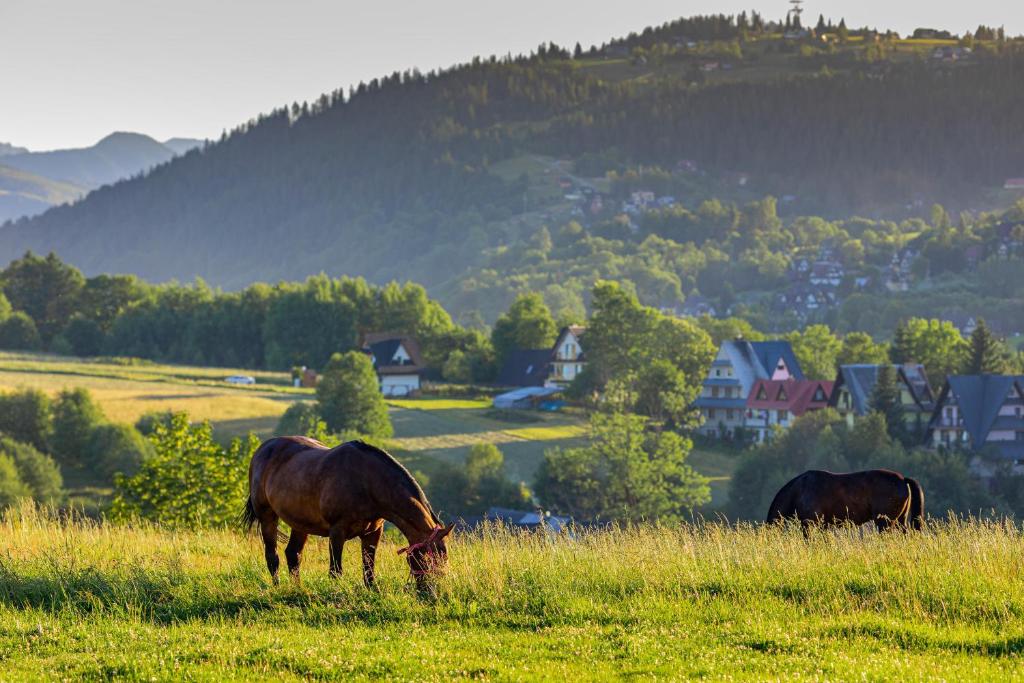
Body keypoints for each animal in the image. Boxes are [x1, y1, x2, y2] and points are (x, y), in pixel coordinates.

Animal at [241, 436, 453, 592]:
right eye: (427, 558)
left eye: (444, 559)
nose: (432, 592)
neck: (367, 481)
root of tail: (263, 448)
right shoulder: (337, 531)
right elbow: (335, 570)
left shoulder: (373, 532)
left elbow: (369, 567)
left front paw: (372, 591)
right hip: (267, 516)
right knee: (273, 556)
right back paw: (277, 587)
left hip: (300, 523)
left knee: (293, 554)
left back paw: (297, 589)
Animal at [766, 469, 924, 532]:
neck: (799, 491)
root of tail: (903, 480)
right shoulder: (823, 526)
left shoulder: (809, 524)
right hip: (900, 520)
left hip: (885, 522)